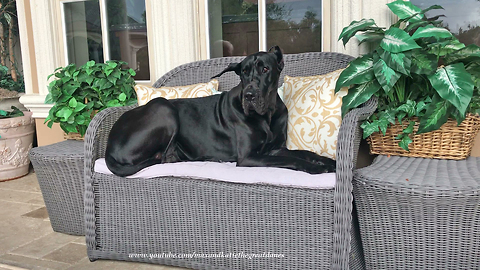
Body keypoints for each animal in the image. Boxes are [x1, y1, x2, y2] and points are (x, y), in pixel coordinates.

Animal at [106, 46, 336, 177]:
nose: (249, 95)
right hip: (163, 107)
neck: (267, 115)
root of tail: (109, 143)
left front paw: (328, 161)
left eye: (265, 69)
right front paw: (316, 167)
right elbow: (291, 160)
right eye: (243, 72)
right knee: (163, 156)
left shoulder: (275, 148)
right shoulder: (249, 157)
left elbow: (303, 153)